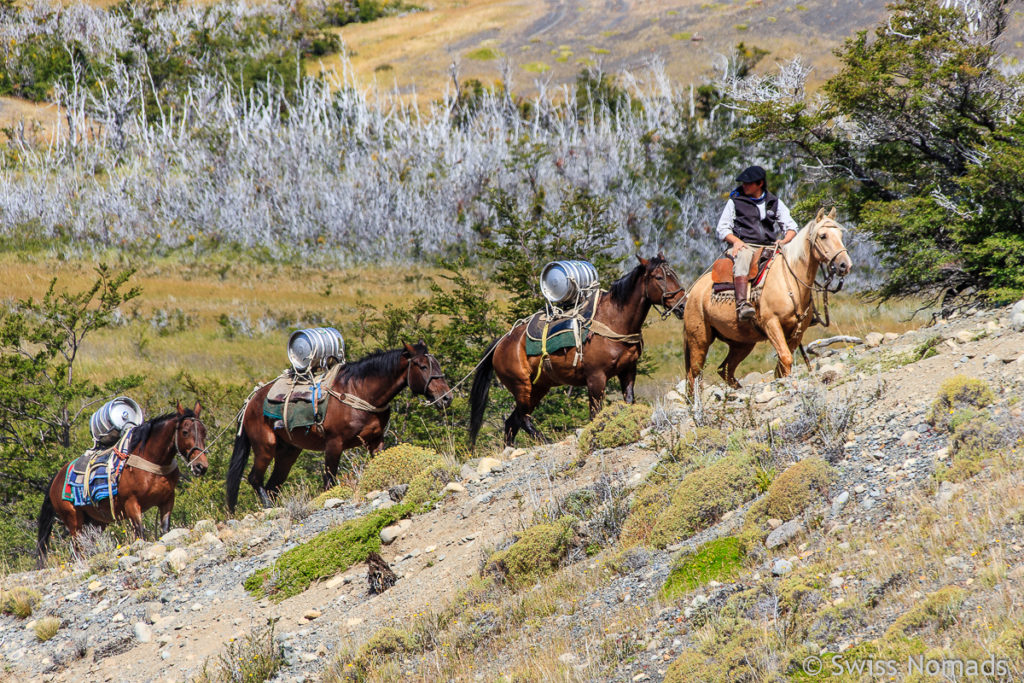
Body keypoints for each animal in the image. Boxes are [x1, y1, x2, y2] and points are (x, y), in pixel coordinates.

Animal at [37, 403, 208, 569]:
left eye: (204, 431)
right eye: (185, 432)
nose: (201, 466)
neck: (152, 462)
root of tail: (56, 479)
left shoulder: (167, 501)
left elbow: (165, 530)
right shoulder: (131, 503)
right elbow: (140, 533)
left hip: (96, 522)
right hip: (73, 520)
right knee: (78, 548)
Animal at [228, 342, 452, 511]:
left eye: (437, 364)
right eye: (422, 366)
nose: (446, 398)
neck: (360, 392)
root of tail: (250, 401)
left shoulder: (376, 442)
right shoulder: (334, 444)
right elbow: (329, 481)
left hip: (289, 452)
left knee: (273, 485)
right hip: (265, 447)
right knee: (255, 479)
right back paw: (268, 507)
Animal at [468, 255, 684, 448]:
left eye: (674, 274)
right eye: (659, 277)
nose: (682, 305)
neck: (613, 321)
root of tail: (501, 343)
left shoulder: (628, 371)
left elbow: (628, 403)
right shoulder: (596, 378)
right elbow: (595, 414)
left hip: (538, 388)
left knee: (512, 422)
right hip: (522, 386)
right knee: (522, 418)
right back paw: (546, 441)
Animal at [684, 205, 851, 393]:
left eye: (840, 235)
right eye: (823, 236)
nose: (845, 265)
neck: (790, 280)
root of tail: (693, 292)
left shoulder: (798, 331)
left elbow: (782, 364)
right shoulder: (772, 324)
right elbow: (785, 358)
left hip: (742, 343)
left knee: (725, 369)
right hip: (699, 340)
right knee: (694, 375)